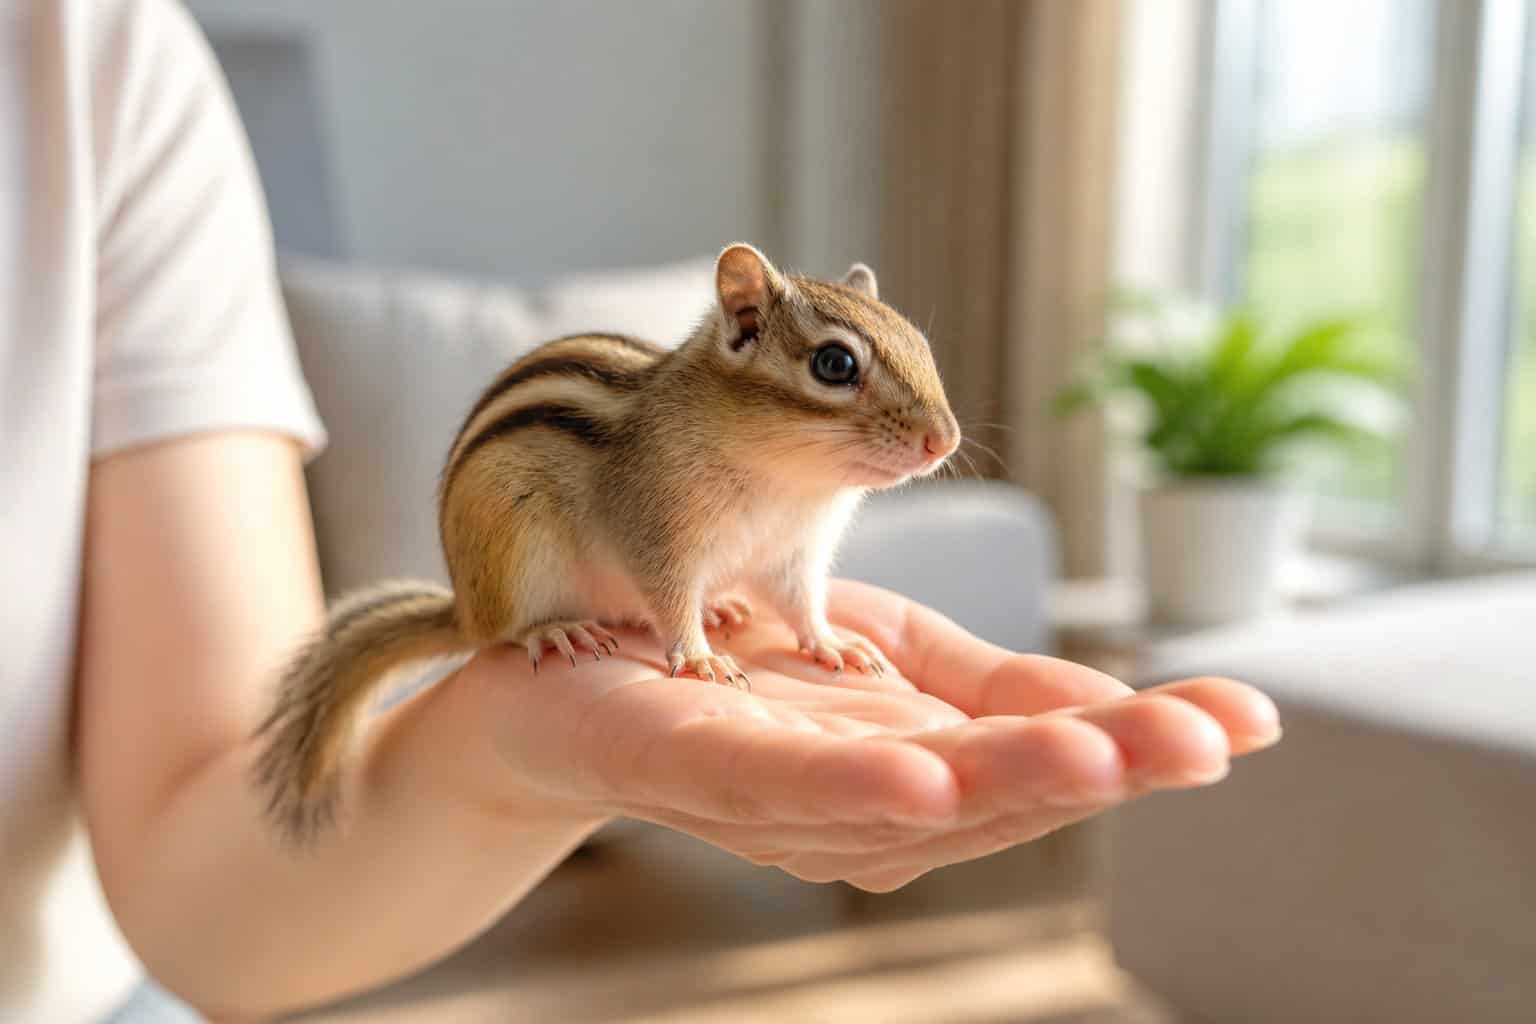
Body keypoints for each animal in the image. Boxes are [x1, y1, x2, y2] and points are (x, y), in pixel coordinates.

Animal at [254, 243, 961, 843]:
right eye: (834, 364)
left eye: (922, 344)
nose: (945, 440)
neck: (791, 483)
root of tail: (463, 606)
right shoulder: (654, 533)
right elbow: (668, 600)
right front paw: (699, 659)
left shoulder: (794, 555)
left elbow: (802, 606)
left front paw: (832, 642)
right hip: (517, 555)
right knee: (502, 633)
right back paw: (555, 630)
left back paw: (720, 607)